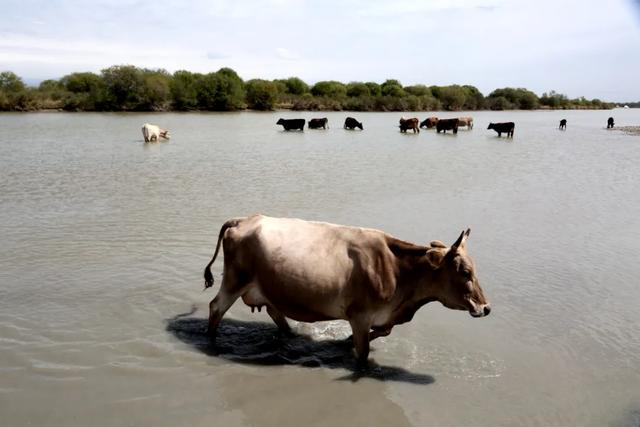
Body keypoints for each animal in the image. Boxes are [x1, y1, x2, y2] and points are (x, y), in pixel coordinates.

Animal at [202, 216, 492, 362]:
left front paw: (343, 342)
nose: (486, 307)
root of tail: (244, 219)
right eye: (465, 272)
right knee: (216, 307)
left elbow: (381, 332)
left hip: (269, 289)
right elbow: (363, 353)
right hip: (234, 281)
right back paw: (211, 342)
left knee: (276, 314)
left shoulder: (380, 317)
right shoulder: (360, 315)